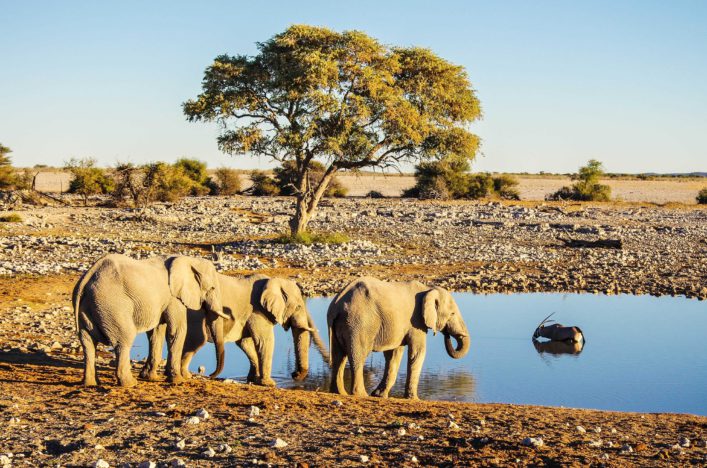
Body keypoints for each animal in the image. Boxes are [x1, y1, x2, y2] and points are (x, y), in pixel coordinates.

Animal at [73, 253, 227, 387]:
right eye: (212, 288)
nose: (211, 375)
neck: (189, 260)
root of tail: (87, 278)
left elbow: (156, 333)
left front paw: (150, 377)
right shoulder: (174, 297)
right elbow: (176, 331)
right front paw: (178, 380)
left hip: (88, 307)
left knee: (88, 342)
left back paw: (90, 384)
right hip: (112, 306)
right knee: (123, 341)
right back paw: (130, 383)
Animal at [141, 274, 329, 386]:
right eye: (299, 307)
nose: (294, 374)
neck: (272, 281)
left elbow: (244, 343)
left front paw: (253, 379)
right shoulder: (257, 312)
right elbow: (265, 341)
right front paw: (269, 384)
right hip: (192, 312)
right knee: (196, 340)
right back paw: (184, 376)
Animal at [327, 277, 470, 399]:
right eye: (452, 314)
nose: (446, 333)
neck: (428, 288)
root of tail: (336, 304)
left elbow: (394, 355)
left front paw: (379, 395)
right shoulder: (416, 322)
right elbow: (417, 353)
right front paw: (414, 399)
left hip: (342, 324)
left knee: (338, 356)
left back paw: (339, 393)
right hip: (359, 323)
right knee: (357, 356)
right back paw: (361, 395)